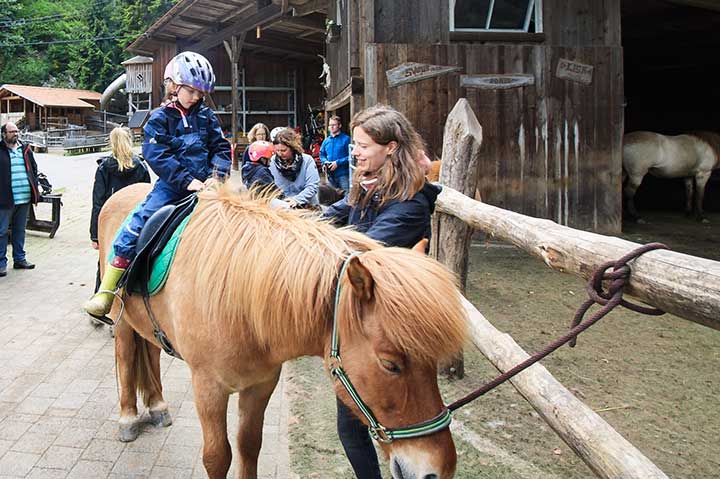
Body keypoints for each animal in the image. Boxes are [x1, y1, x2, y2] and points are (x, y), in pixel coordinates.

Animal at [98, 182, 470, 478]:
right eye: (390, 364)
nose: (437, 470)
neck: (236, 299)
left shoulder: (261, 384)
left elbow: (249, 447)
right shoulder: (208, 388)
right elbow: (217, 457)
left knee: (150, 353)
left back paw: (158, 406)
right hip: (122, 321)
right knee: (127, 357)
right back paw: (128, 418)